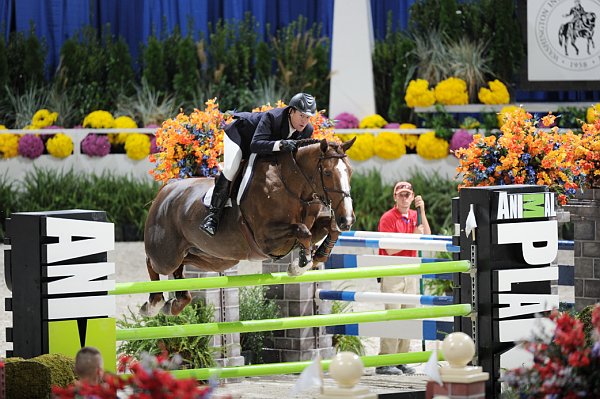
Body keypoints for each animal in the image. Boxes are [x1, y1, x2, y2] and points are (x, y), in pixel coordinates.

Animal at [142, 139, 354, 318]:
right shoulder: (265, 239)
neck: (293, 186)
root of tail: (166, 190)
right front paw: (300, 265)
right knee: (153, 263)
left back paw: (174, 304)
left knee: (182, 269)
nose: (348, 219)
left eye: (350, 172)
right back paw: (153, 305)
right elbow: (302, 230)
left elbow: (329, 229)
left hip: (213, 258)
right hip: (167, 255)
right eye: (327, 173)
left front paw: (317, 256)